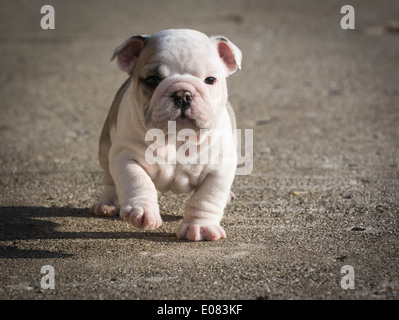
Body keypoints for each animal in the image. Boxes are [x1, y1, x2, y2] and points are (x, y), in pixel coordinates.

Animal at [90, 29, 241, 240]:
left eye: (210, 80)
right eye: (152, 80)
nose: (183, 94)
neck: (176, 138)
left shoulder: (219, 168)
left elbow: (207, 198)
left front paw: (201, 226)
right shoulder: (125, 156)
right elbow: (137, 179)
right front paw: (142, 210)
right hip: (105, 147)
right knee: (109, 178)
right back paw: (107, 204)